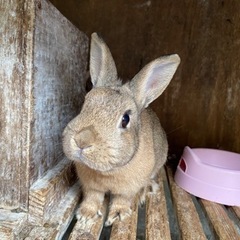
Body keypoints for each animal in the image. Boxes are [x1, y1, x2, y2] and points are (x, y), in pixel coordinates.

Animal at [62, 32, 180, 226]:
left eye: (125, 119)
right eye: (85, 104)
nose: (81, 141)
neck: (108, 172)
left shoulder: (128, 188)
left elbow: (122, 199)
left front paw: (118, 215)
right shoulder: (90, 187)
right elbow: (92, 197)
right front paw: (86, 215)